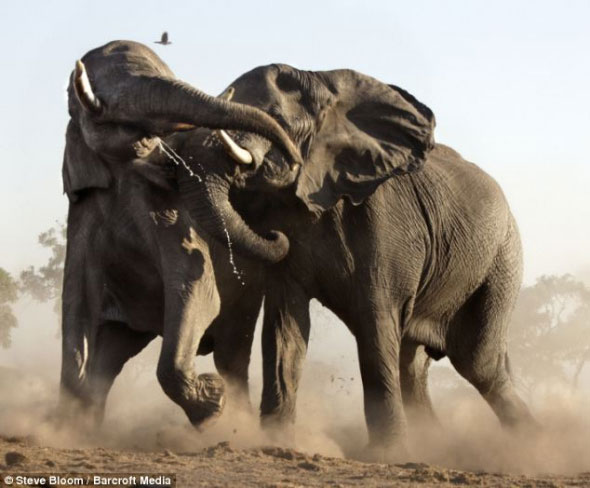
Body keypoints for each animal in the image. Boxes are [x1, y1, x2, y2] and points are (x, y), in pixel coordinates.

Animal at [59, 43, 300, 430]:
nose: (294, 159)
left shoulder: (169, 209)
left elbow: (197, 288)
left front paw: (213, 405)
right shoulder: (84, 210)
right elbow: (76, 300)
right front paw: (64, 428)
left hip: (247, 292)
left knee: (232, 349)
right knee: (111, 355)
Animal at [173, 63, 540, 460]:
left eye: (274, 120)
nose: (272, 235)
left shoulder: (384, 224)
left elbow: (374, 322)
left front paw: (387, 455)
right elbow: (285, 329)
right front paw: (277, 443)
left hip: (502, 260)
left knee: (477, 361)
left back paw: (533, 444)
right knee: (414, 364)